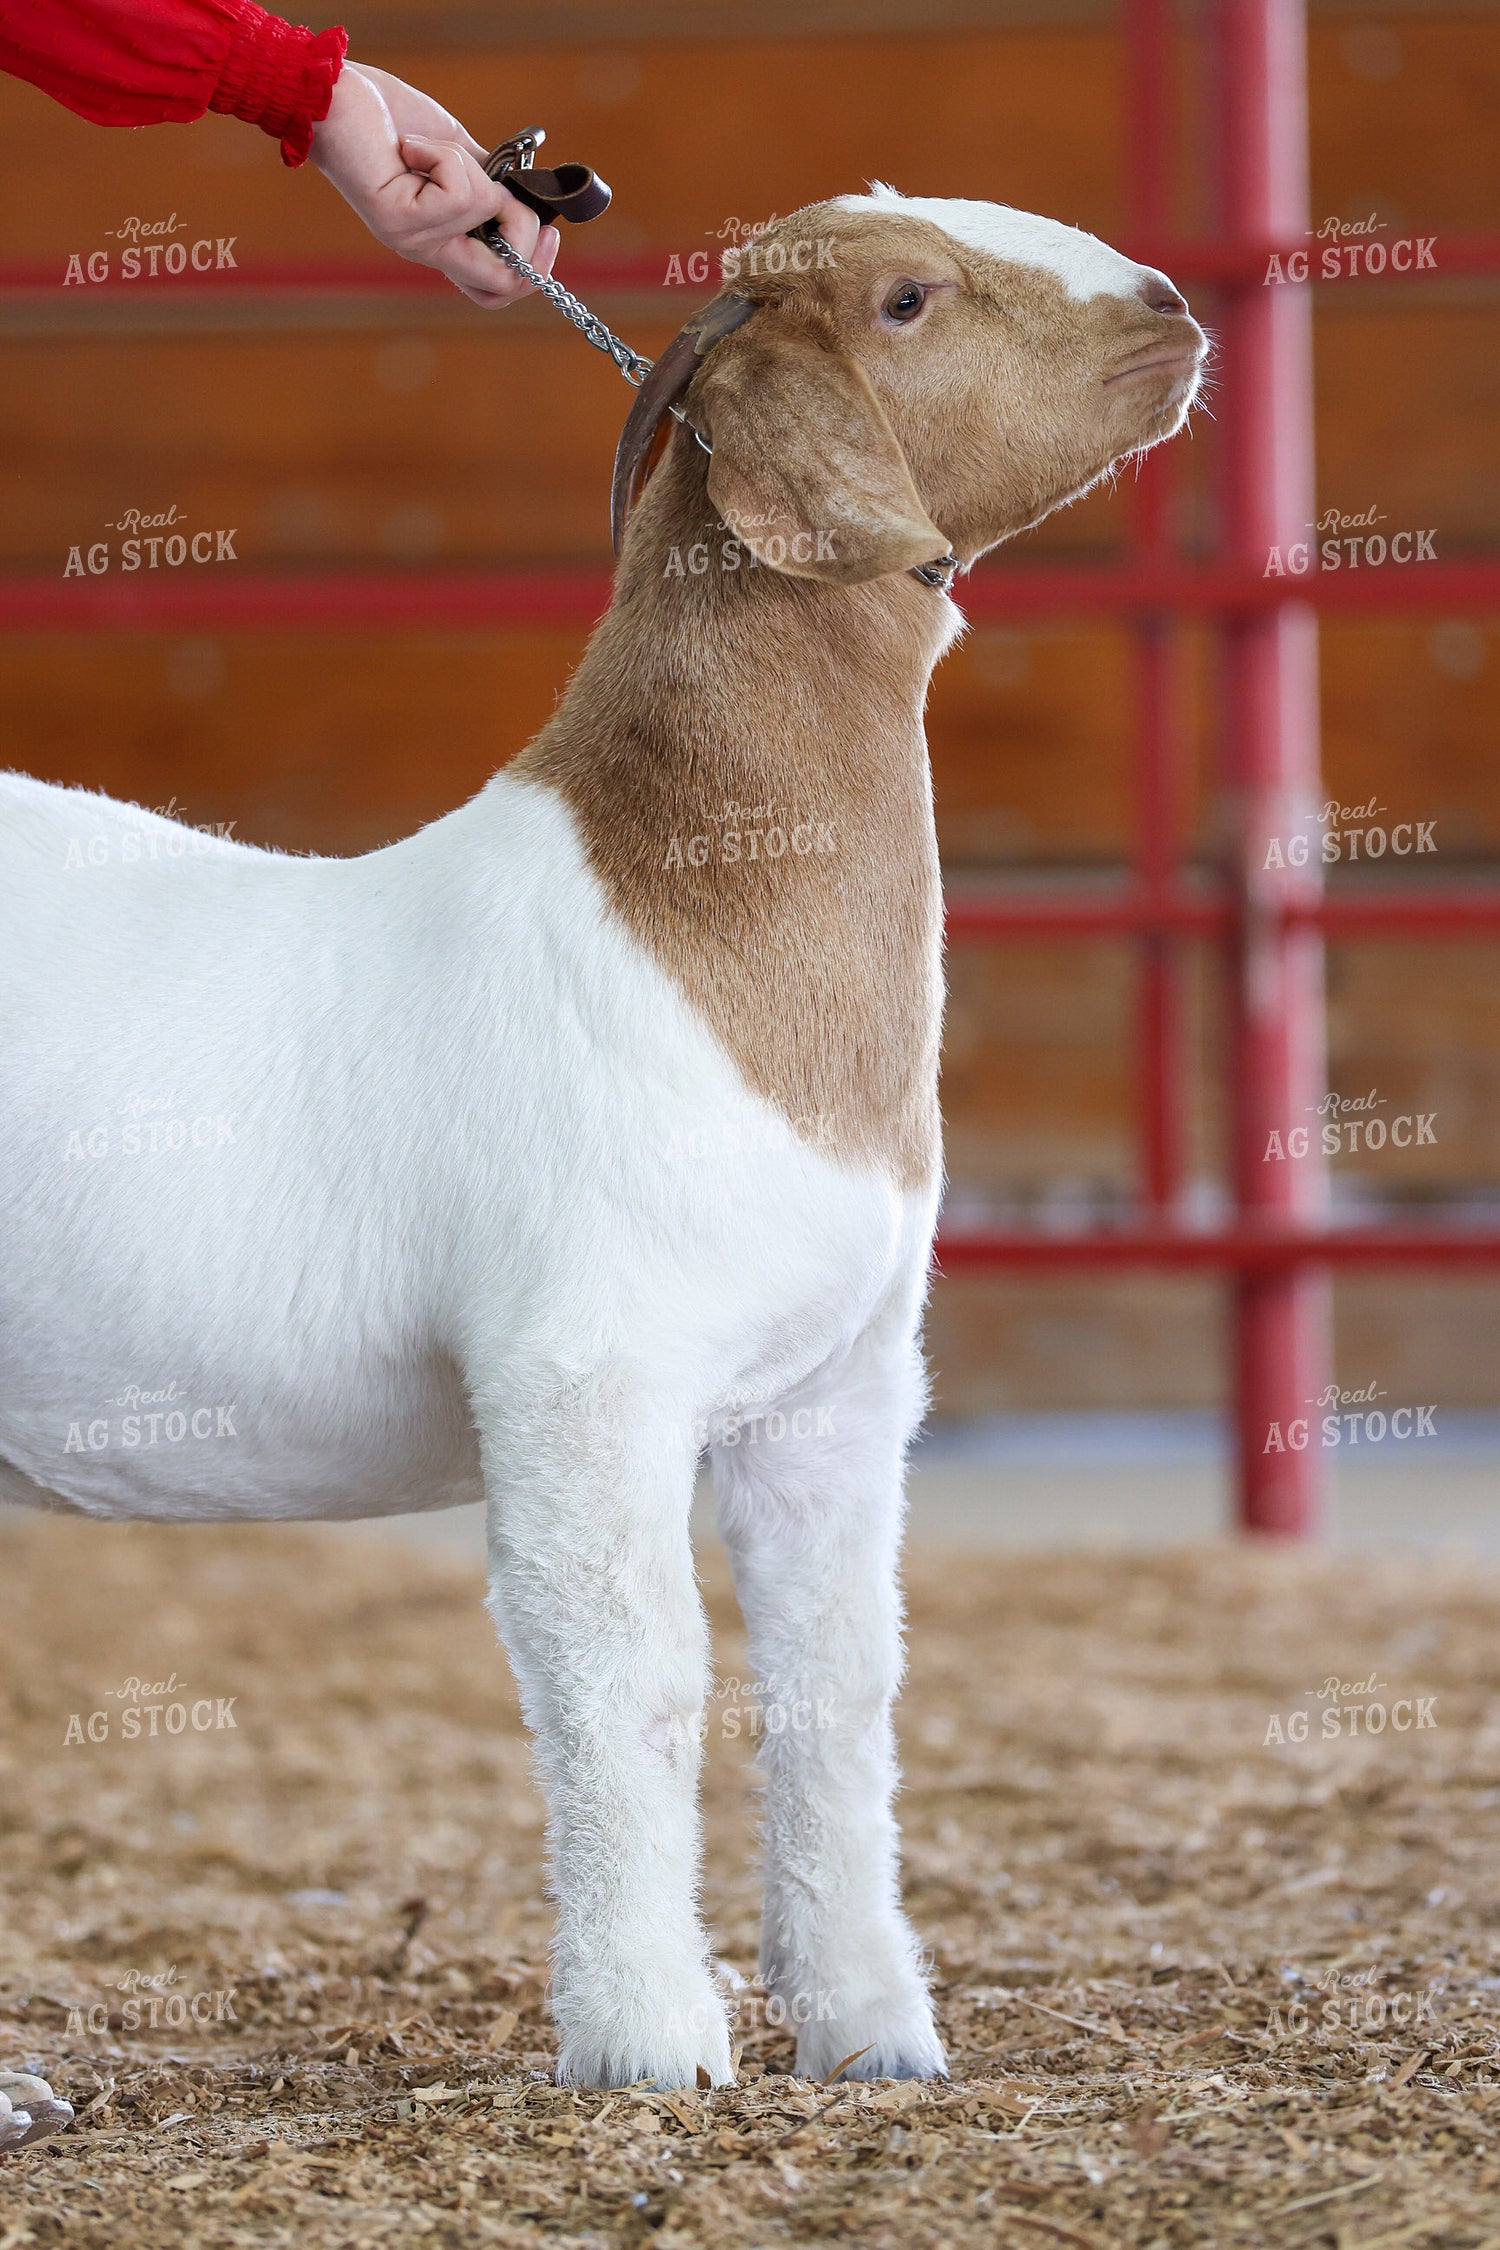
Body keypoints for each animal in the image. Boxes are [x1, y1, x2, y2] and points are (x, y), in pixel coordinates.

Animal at [0, 188, 1205, 2097]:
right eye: (909, 298)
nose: (1173, 303)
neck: (691, 915)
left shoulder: (838, 1387)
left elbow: (839, 1680)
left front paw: (872, 2030)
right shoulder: (586, 1371)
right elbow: (629, 1672)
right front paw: (652, 2039)